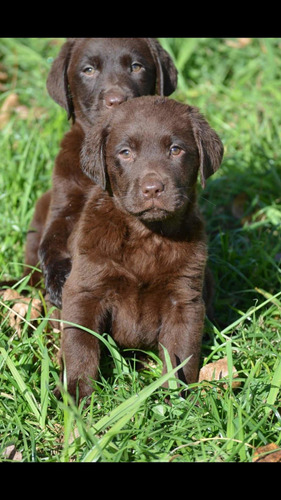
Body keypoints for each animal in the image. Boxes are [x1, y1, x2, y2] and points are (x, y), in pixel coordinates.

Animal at [24, 38, 177, 304]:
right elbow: (50, 241)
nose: (117, 100)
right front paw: (58, 281)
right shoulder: (63, 205)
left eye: (136, 66)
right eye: (88, 70)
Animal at [60, 94, 222, 398]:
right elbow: (80, 344)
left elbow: (181, 353)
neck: (147, 235)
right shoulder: (85, 290)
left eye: (175, 149)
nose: (152, 189)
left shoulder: (184, 299)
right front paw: (74, 395)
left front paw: (178, 400)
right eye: (125, 152)